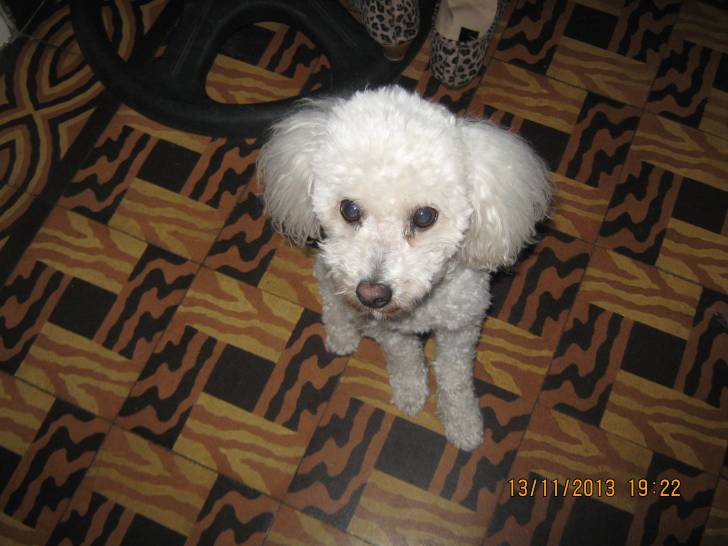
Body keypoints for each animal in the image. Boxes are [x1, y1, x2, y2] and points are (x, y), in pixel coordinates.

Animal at [257, 86, 551, 450]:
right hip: (335, 272)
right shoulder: (389, 330)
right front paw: (411, 391)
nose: (372, 295)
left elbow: (454, 375)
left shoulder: (462, 327)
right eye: (349, 209)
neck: (421, 304)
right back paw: (341, 333)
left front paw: (462, 420)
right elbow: (405, 357)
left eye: (424, 216)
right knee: (328, 290)